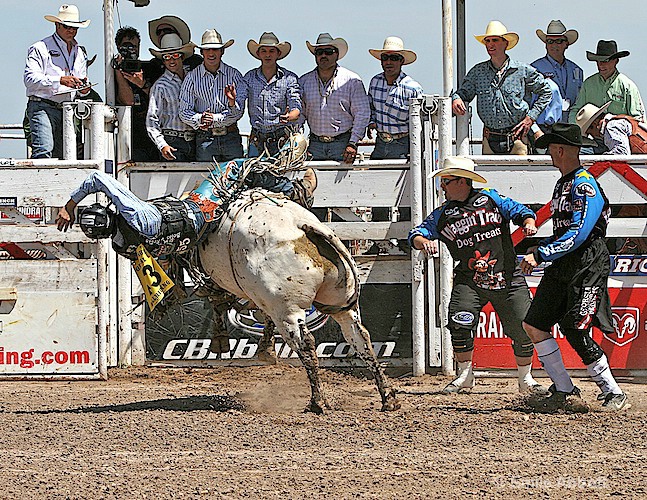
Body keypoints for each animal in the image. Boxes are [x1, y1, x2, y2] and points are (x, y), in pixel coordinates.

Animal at [199, 189, 400, 412]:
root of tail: (302, 225)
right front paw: (264, 348)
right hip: (342, 306)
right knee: (360, 338)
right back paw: (388, 397)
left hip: (287, 310)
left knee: (306, 344)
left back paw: (317, 402)